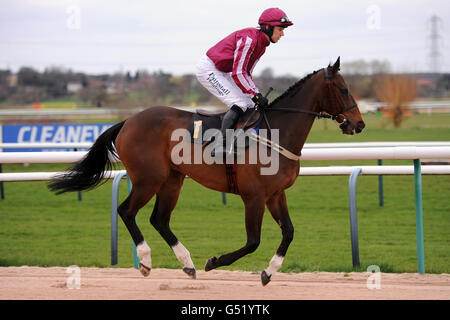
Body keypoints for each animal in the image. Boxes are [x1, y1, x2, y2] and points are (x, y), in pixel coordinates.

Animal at [48, 57, 366, 284]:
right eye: (343, 89)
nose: (359, 124)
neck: (275, 133)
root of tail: (127, 121)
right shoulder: (253, 196)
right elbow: (253, 241)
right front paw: (215, 261)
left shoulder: (276, 194)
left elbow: (288, 232)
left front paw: (269, 272)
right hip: (148, 178)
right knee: (126, 211)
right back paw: (146, 261)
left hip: (173, 179)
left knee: (159, 219)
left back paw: (187, 264)